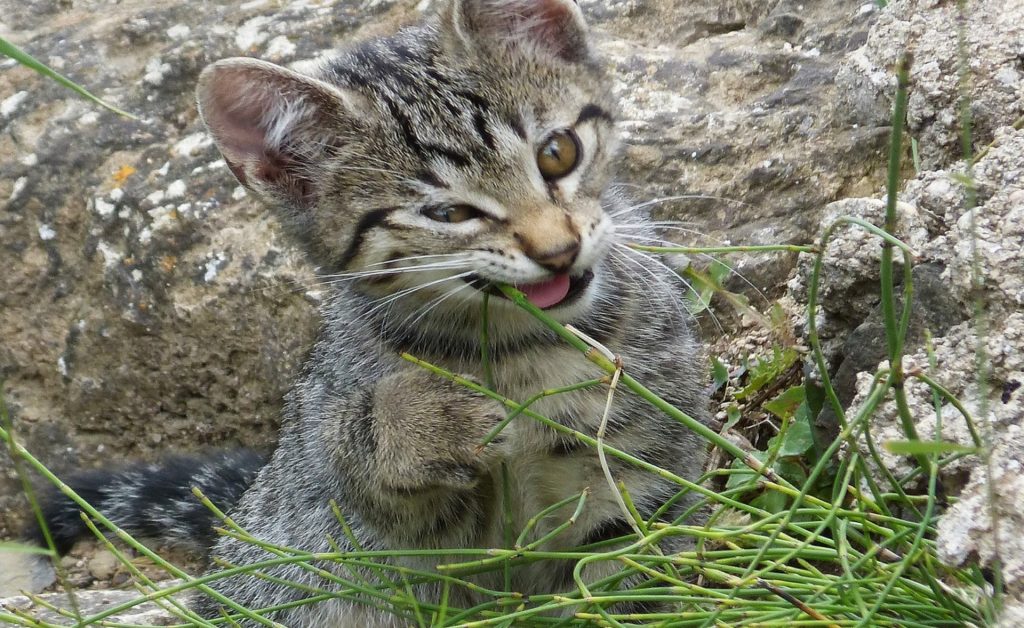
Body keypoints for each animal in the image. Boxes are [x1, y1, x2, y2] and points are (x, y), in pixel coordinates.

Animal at [32, 0, 708, 618]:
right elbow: (354, 461)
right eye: (447, 213)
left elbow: (633, 578)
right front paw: (424, 419)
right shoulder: (351, 504)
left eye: (557, 152)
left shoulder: (645, 468)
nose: (558, 250)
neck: (523, 349)